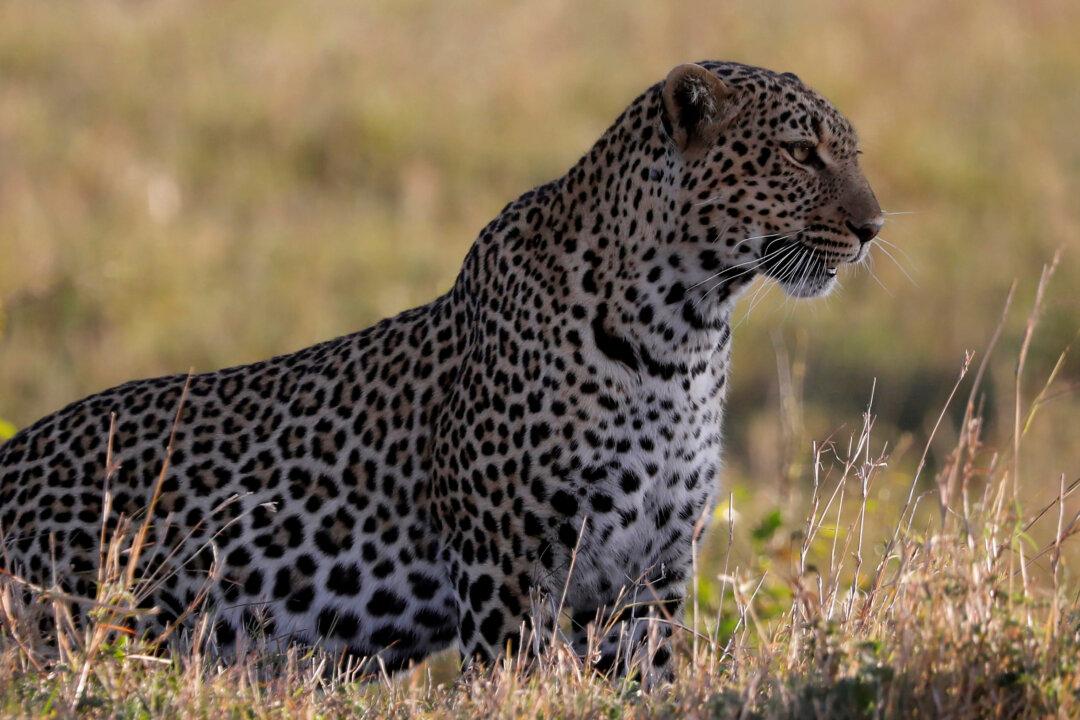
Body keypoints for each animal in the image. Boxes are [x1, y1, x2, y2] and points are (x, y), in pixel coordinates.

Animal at [0, 61, 882, 677]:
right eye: (801, 154)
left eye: (848, 153)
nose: (874, 226)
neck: (682, 335)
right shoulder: (508, 565)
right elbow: (518, 681)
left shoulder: (649, 572)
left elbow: (649, 682)